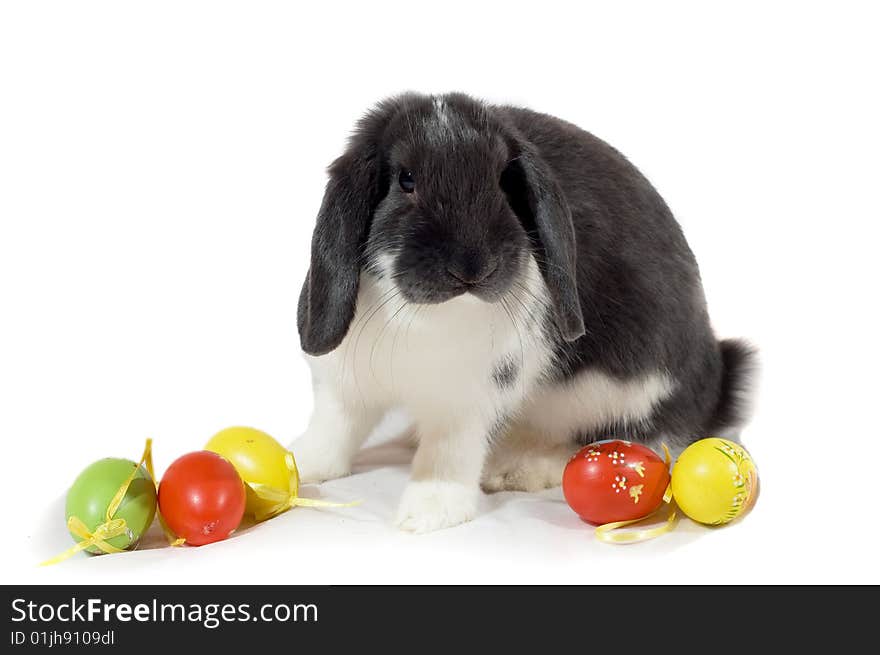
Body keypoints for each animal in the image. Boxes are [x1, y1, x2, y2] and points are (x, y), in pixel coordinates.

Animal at [290, 92, 756, 532]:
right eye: (406, 179)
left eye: (502, 181)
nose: (472, 267)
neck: (428, 316)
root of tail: (716, 380)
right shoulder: (344, 385)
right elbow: (335, 428)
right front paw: (303, 464)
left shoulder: (470, 397)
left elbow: (449, 450)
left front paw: (429, 510)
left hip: (629, 396)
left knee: (622, 437)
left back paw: (518, 468)